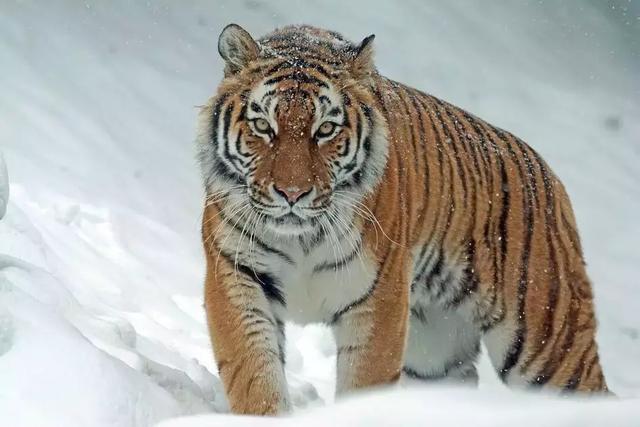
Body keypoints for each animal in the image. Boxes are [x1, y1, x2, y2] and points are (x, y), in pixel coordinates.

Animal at [199, 22, 608, 414]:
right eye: (263, 126)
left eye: (326, 129)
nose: (293, 194)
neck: (301, 237)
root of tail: (551, 177)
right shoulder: (236, 276)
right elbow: (255, 375)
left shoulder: (378, 299)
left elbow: (364, 383)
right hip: (435, 354)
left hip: (549, 344)